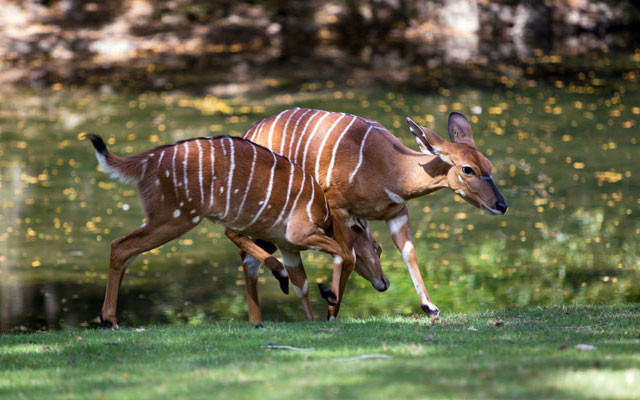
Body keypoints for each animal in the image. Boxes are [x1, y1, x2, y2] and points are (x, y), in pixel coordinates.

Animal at [84, 134, 384, 328]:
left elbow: (302, 284)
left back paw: (107, 318)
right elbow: (342, 253)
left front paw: (310, 314)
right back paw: (109, 321)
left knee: (125, 250)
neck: (325, 215)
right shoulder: (298, 234)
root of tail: (146, 161)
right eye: (378, 248)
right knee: (120, 246)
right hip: (176, 217)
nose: (384, 283)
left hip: (165, 218)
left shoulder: (288, 246)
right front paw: (327, 293)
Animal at [242, 107, 508, 318]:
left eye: (489, 165)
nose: (501, 205)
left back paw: (259, 319)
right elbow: (346, 256)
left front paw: (430, 307)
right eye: (468, 169)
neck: (391, 169)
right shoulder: (338, 208)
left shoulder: (397, 213)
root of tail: (250, 132)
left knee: (250, 260)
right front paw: (331, 306)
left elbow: (409, 253)